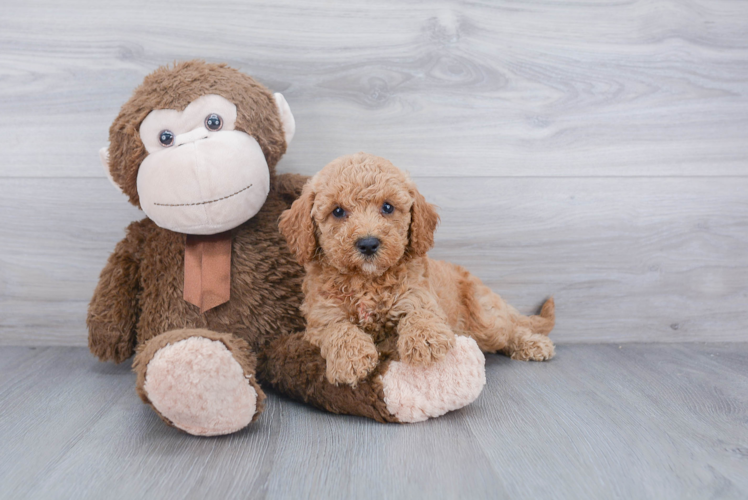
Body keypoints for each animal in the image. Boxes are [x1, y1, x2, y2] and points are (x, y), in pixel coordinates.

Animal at [280, 152, 556, 386]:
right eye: (337, 211)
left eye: (387, 207)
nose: (368, 243)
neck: (367, 281)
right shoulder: (320, 318)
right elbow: (337, 329)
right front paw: (351, 359)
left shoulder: (420, 295)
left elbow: (420, 314)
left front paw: (425, 342)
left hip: (485, 318)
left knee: (510, 329)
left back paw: (534, 344)